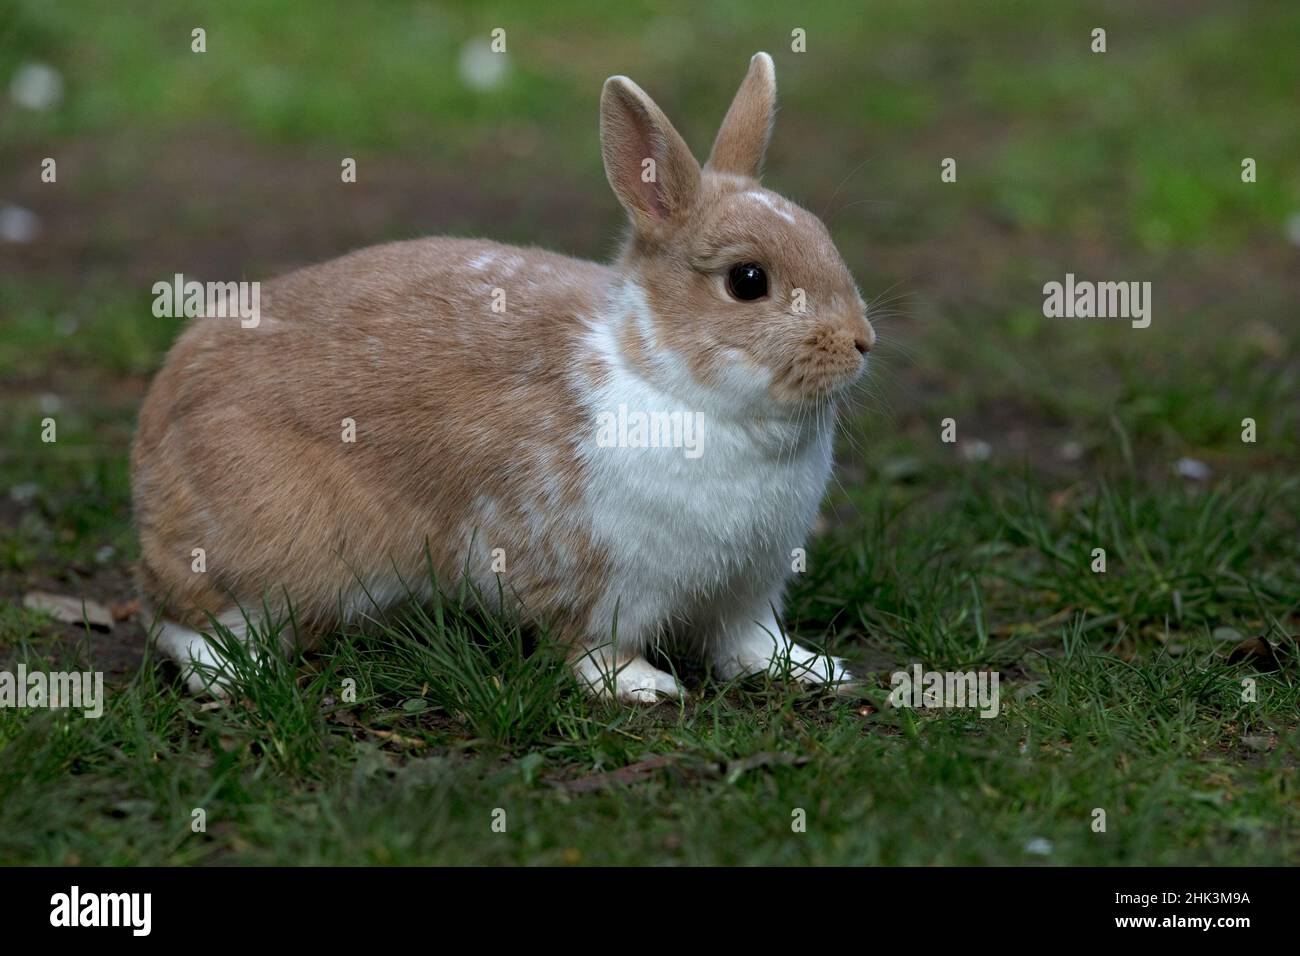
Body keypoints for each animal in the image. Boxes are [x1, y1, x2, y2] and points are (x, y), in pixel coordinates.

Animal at [131, 52, 873, 697]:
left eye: (823, 236)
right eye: (747, 280)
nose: (862, 342)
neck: (668, 378)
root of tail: (152, 438)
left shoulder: (749, 587)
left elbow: (749, 643)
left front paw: (816, 670)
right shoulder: (593, 580)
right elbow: (591, 647)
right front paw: (645, 687)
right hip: (268, 558)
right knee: (184, 626)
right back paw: (234, 675)